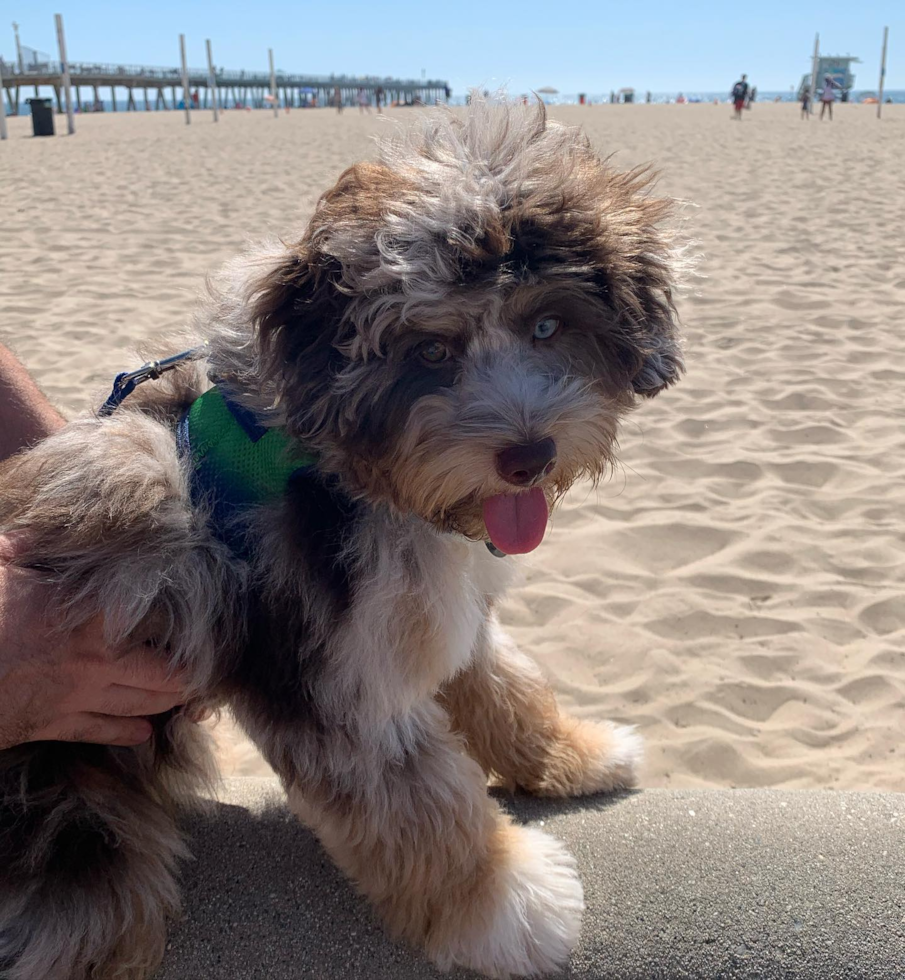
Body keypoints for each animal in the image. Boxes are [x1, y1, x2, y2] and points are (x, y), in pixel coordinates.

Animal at [0, 101, 680, 980]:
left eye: (547, 324)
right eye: (430, 350)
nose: (528, 455)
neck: (347, 474)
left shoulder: (432, 611)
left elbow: (506, 684)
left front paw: (571, 752)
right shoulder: (333, 677)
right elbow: (418, 806)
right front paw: (503, 908)